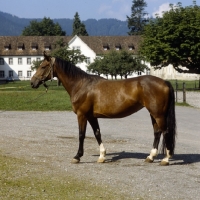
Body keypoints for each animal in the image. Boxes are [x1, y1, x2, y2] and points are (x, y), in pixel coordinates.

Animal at [30, 51, 177, 166]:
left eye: (43, 66)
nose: (32, 82)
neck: (81, 85)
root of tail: (165, 82)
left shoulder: (82, 115)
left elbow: (81, 135)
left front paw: (77, 157)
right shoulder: (91, 116)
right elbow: (97, 133)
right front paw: (102, 156)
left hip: (158, 114)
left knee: (165, 132)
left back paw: (165, 159)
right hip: (154, 114)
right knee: (157, 132)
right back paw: (150, 157)